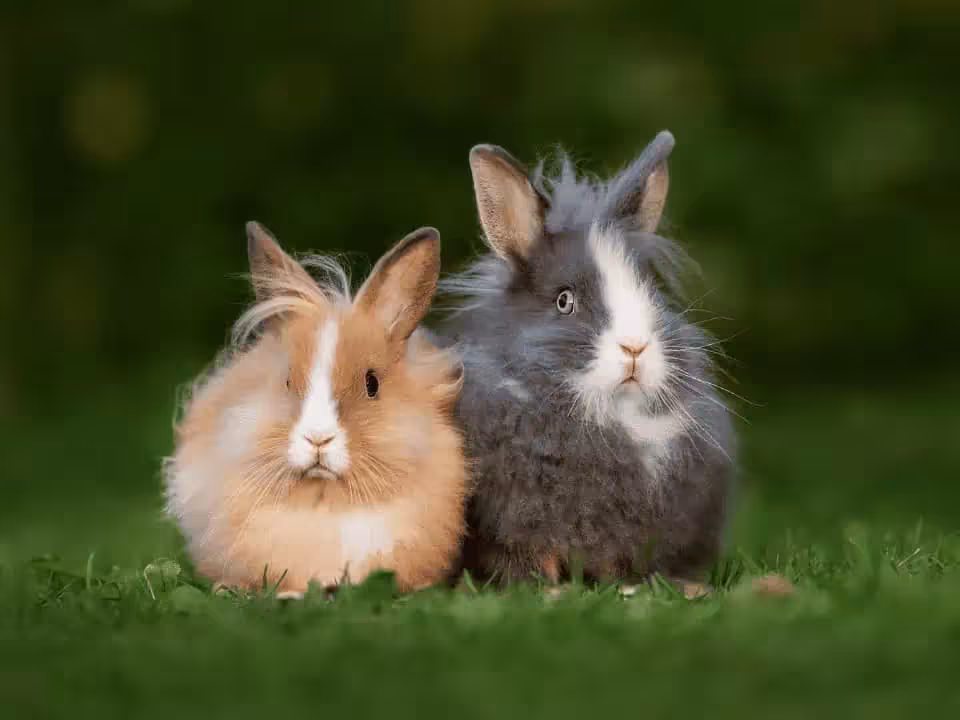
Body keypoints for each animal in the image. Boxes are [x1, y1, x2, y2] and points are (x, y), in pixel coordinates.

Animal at [438, 130, 736, 585]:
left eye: (651, 291)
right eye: (564, 301)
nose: (635, 347)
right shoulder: (515, 525)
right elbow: (525, 557)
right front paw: (546, 589)